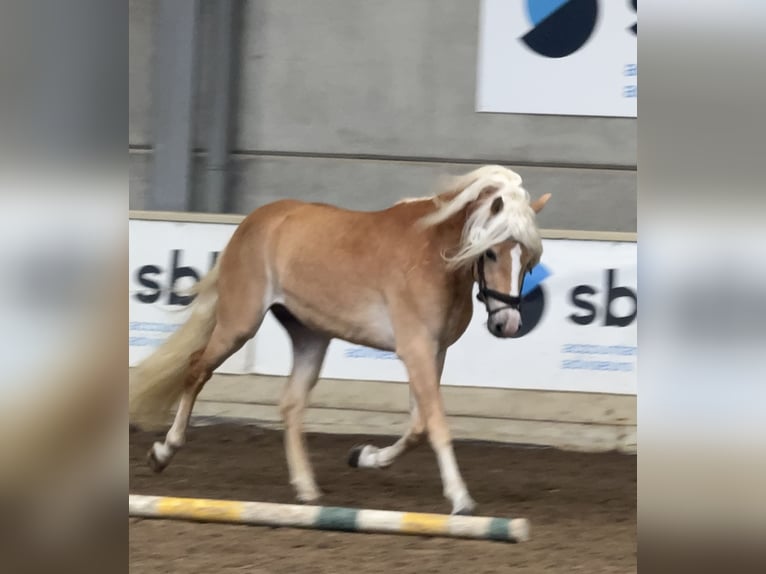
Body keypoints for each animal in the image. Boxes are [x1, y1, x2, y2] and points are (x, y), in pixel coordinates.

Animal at [130, 164, 552, 516]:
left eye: (528, 259)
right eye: (492, 252)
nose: (508, 323)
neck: (435, 257)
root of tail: (255, 220)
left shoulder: (433, 352)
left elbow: (418, 425)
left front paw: (364, 456)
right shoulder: (415, 349)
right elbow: (435, 423)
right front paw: (461, 499)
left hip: (310, 335)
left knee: (291, 403)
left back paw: (306, 489)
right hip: (239, 324)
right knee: (197, 369)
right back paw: (163, 452)